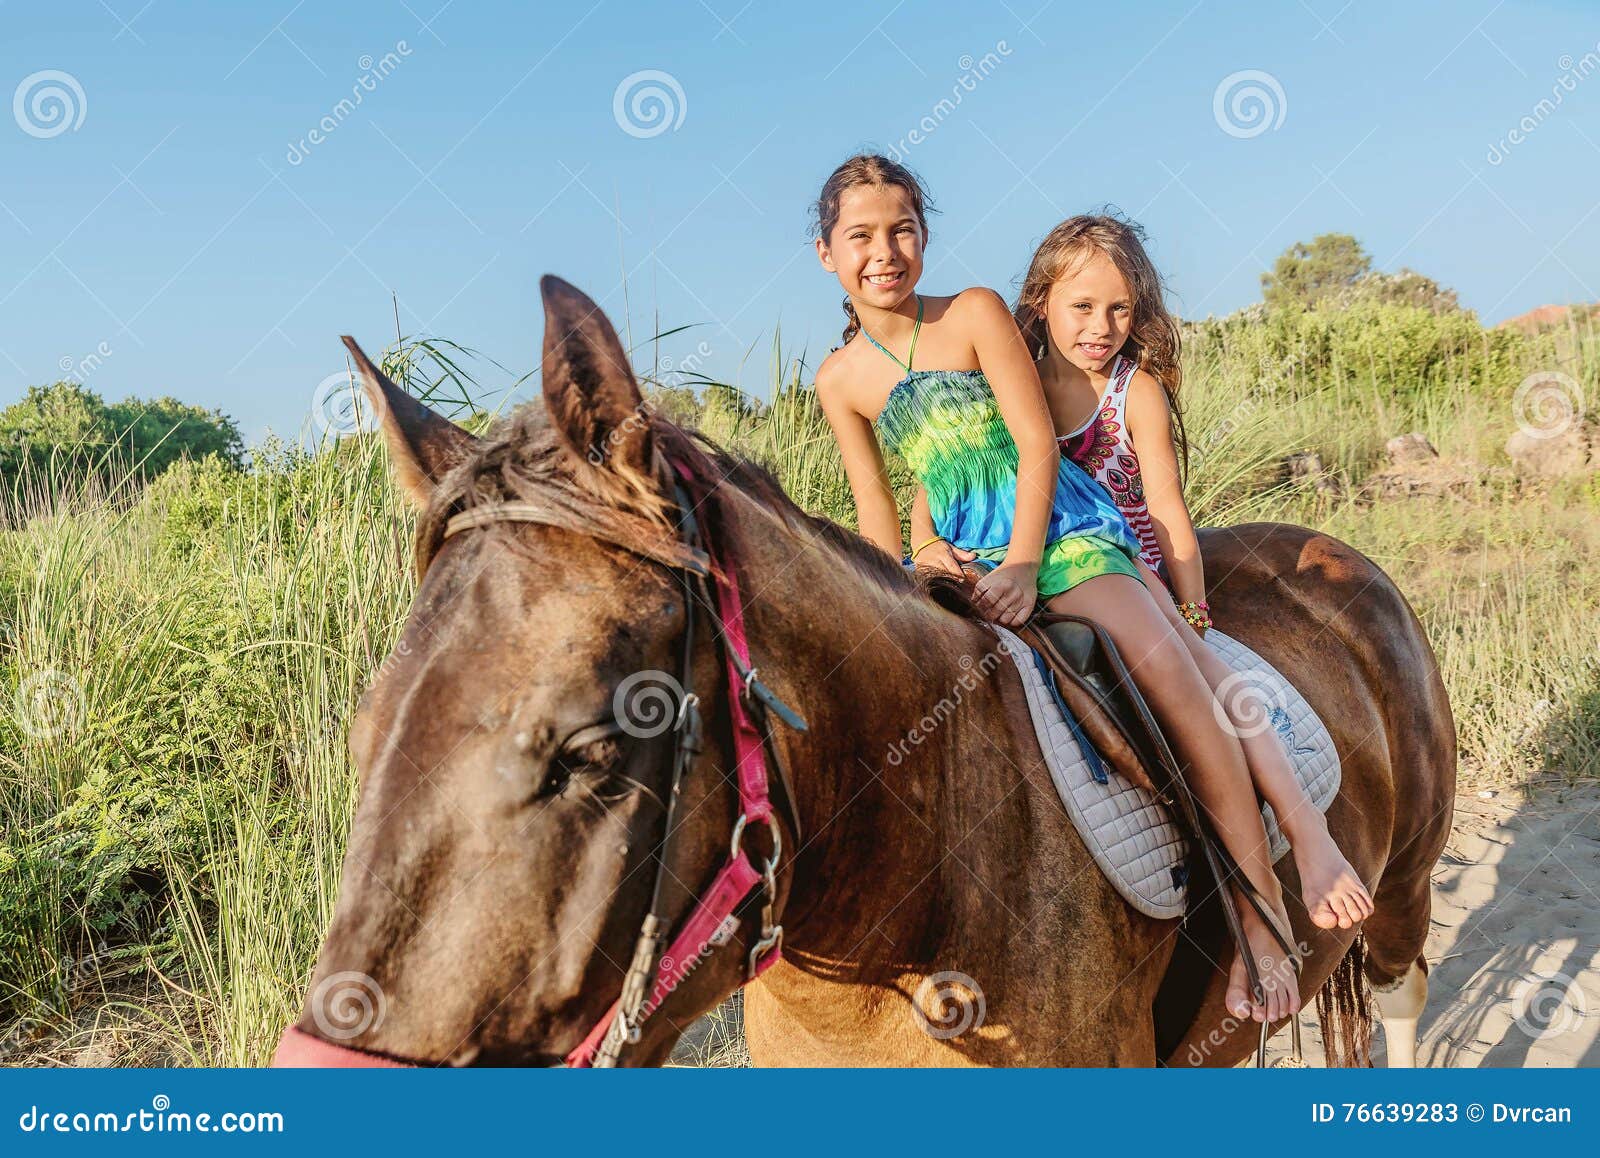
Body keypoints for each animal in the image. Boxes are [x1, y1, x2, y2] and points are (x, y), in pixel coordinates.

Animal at [281, 278, 1459, 1068]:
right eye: (366, 741)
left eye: (593, 751)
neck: (916, 887)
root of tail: (1340, 556)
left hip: (1399, 893)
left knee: (1401, 988)